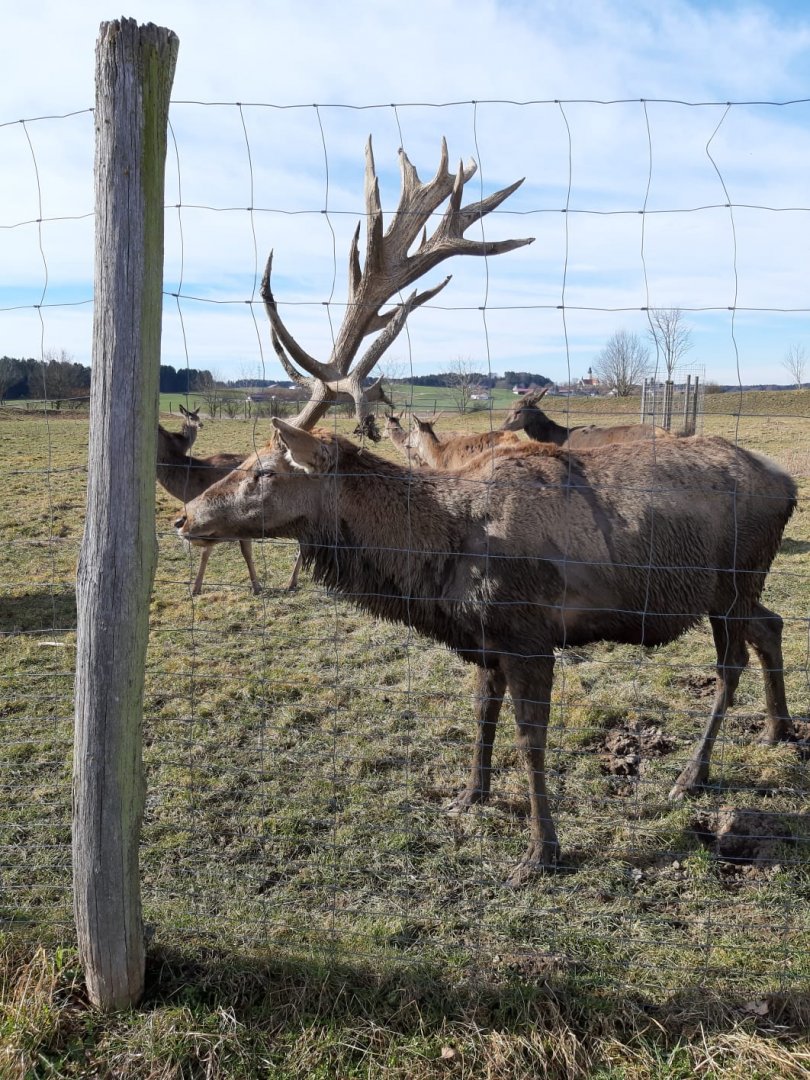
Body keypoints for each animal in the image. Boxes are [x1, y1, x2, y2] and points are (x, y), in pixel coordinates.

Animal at [175, 421, 797, 886]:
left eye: (265, 470)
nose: (183, 518)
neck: (438, 556)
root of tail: (788, 483)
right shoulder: (485, 641)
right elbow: (481, 716)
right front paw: (469, 796)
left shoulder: (529, 638)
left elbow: (530, 742)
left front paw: (541, 853)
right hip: (736, 591)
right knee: (772, 625)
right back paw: (777, 729)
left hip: (735, 582)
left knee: (731, 664)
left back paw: (692, 774)